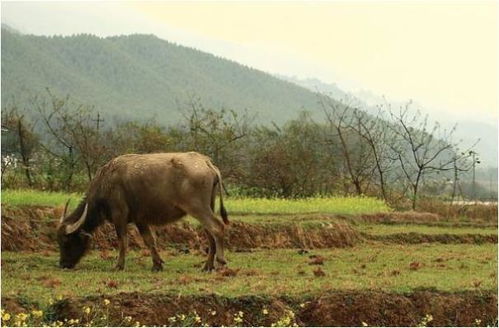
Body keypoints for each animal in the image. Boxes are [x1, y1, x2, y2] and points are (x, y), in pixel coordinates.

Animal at [57, 152, 229, 270]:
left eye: (66, 241)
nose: (63, 264)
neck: (105, 183)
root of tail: (207, 163)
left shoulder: (119, 215)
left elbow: (123, 240)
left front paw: (118, 265)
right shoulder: (140, 219)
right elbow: (149, 240)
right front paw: (157, 264)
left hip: (198, 208)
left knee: (217, 227)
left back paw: (220, 261)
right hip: (207, 206)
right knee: (210, 233)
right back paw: (207, 266)